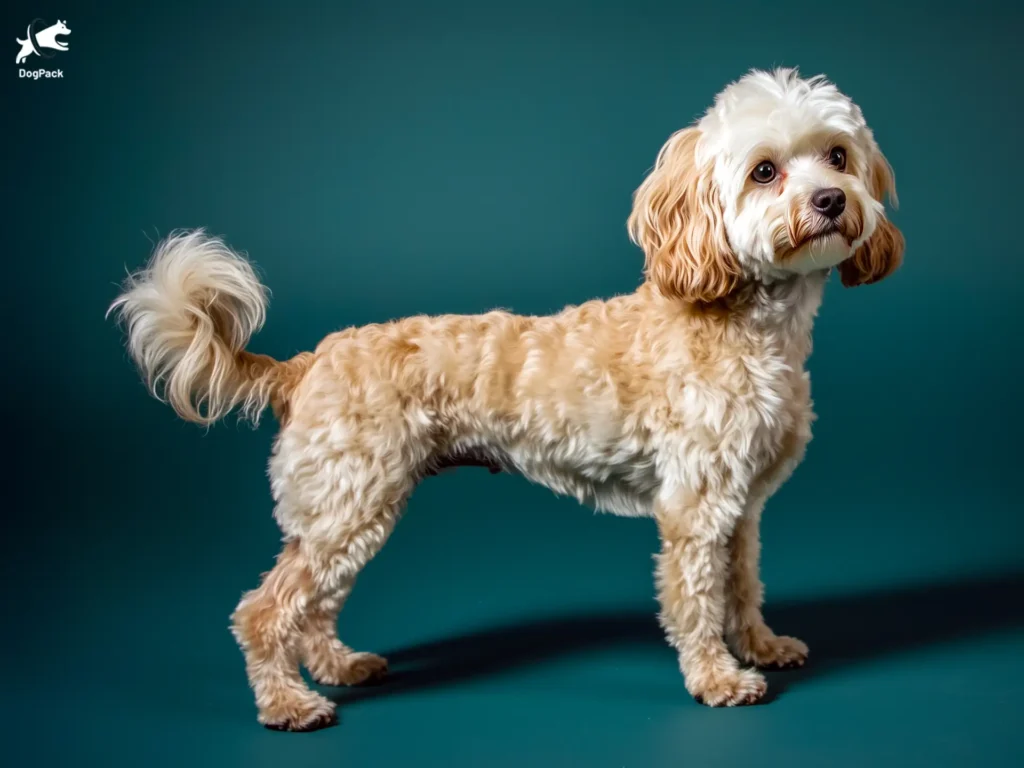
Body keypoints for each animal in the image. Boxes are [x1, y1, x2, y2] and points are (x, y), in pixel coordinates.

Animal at [108, 69, 901, 729]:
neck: (740, 320)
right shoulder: (697, 509)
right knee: (265, 611)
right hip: (349, 501)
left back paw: (338, 665)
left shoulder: (742, 506)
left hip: (350, 508)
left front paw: (761, 645)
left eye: (837, 156)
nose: (831, 201)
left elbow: (743, 584)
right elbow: (698, 598)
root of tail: (305, 364)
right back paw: (286, 703)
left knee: (313, 602)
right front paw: (717, 679)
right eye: (765, 171)